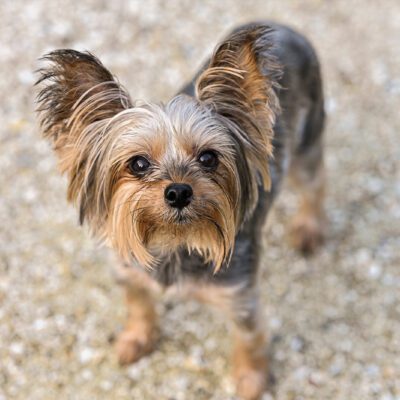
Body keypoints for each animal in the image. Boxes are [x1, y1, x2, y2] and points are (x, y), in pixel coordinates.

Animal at [36, 22, 326, 400]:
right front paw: (136, 339)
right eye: (138, 164)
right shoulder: (128, 269)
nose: (177, 191)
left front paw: (250, 380)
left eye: (208, 158)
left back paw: (309, 228)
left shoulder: (240, 294)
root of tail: (284, 27)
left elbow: (248, 336)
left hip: (307, 141)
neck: (174, 241)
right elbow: (138, 303)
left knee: (315, 184)